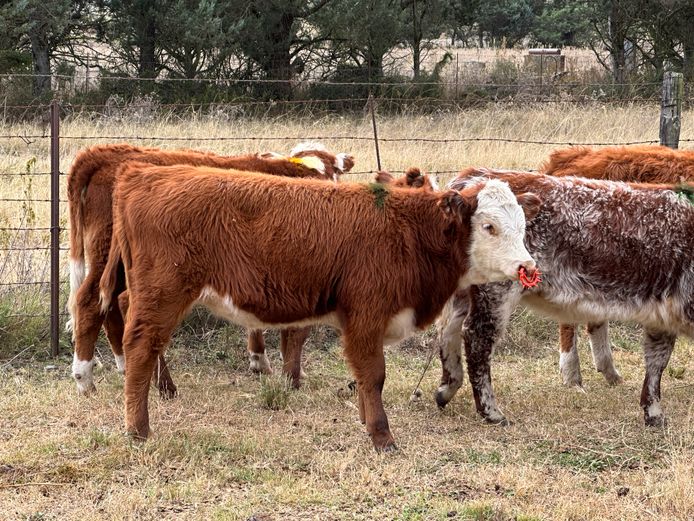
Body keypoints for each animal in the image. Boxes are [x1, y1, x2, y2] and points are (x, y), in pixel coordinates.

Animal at [66, 141, 354, 394]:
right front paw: (290, 373)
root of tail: (101, 153)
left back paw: (126, 367)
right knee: (91, 303)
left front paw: (259, 360)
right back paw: (87, 379)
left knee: (111, 307)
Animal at [102, 165, 540, 448]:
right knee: (141, 347)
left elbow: (362, 378)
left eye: (522, 225)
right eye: (489, 226)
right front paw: (382, 436)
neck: (408, 231)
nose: (528, 267)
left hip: (148, 292)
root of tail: (145, 172)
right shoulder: (366, 316)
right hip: (164, 293)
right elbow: (373, 376)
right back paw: (138, 430)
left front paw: (366, 421)